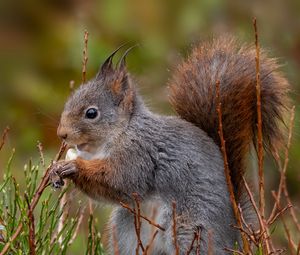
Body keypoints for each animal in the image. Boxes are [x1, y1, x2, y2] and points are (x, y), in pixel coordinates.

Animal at [49, 36, 290, 254]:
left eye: (91, 113)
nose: (61, 134)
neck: (120, 133)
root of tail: (234, 236)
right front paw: (55, 169)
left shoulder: (139, 153)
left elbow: (120, 180)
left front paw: (74, 167)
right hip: (126, 231)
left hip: (189, 230)